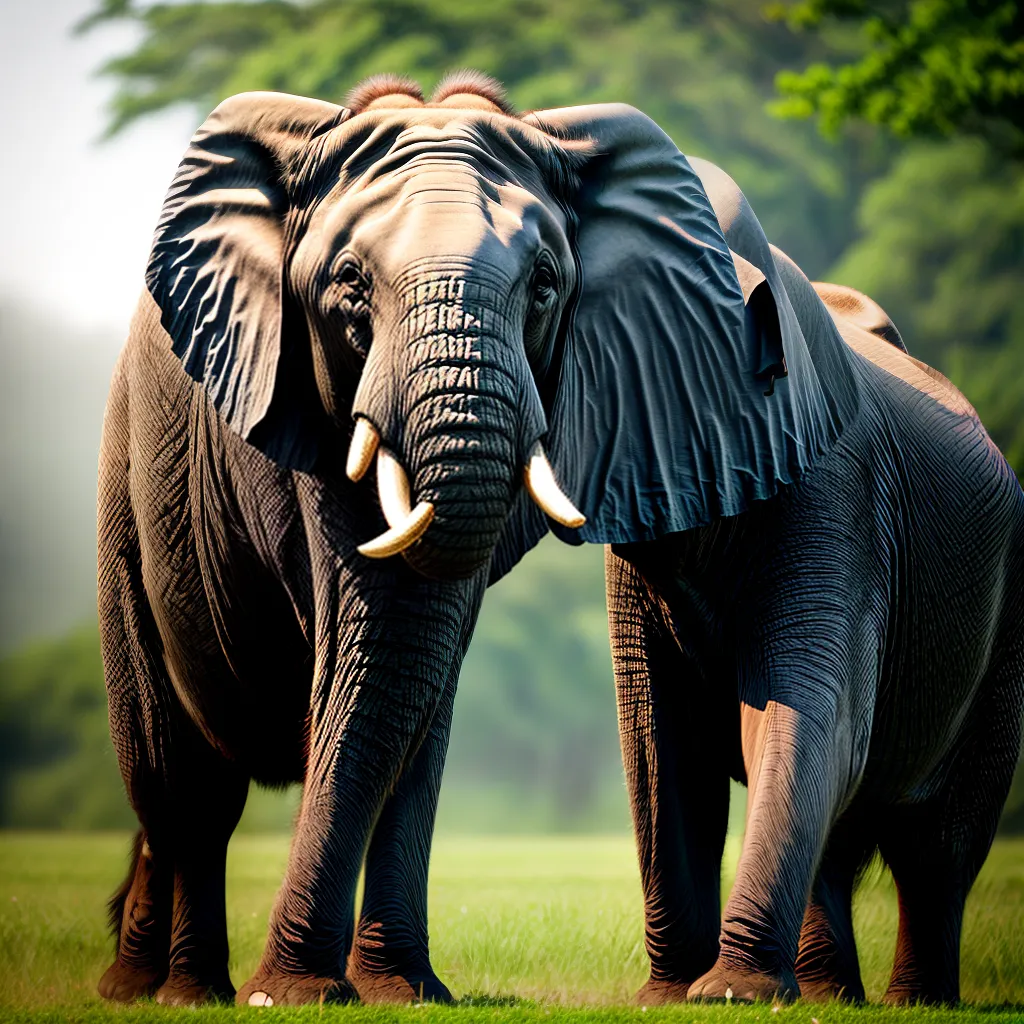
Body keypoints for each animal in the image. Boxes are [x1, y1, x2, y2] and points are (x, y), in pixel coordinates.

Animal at [606, 158, 1024, 1006]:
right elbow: (663, 743)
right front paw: (676, 999)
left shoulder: (839, 495)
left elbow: (803, 713)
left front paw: (726, 997)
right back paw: (831, 996)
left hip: (1003, 636)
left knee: (942, 846)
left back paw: (913, 1002)